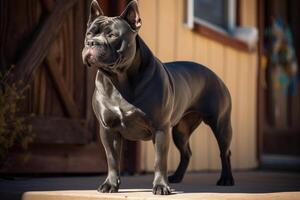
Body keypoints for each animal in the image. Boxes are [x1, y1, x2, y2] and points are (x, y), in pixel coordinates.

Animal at [82, 0, 234, 195]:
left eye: (112, 35)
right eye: (89, 33)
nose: (90, 42)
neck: (118, 80)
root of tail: (215, 75)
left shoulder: (160, 129)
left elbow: (159, 160)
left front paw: (161, 186)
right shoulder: (108, 129)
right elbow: (112, 159)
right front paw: (110, 184)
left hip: (220, 124)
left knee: (225, 152)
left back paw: (226, 179)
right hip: (180, 130)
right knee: (186, 152)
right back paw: (176, 177)